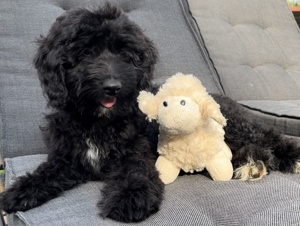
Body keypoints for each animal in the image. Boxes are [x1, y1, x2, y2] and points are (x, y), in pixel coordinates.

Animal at [0, 3, 300, 222]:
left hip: (234, 126)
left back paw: (289, 157)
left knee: (268, 136)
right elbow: (48, 171)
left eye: (125, 55)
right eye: (84, 53)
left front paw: (130, 199)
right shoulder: (68, 157)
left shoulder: (136, 151)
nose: (112, 87)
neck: (98, 122)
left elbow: (136, 172)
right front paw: (20, 191)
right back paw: (252, 166)